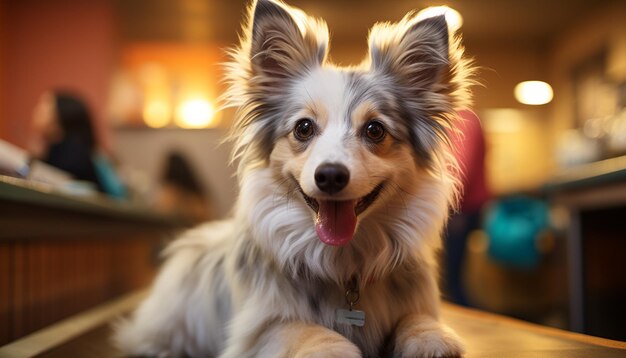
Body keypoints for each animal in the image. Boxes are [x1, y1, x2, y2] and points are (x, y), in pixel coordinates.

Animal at [113, 1, 472, 356]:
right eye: (303, 128)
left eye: (375, 130)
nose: (330, 175)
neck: (344, 263)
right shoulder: (259, 329)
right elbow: (307, 330)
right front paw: (335, 347)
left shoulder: (415, 304)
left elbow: (416, 318)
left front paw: (431, 337)